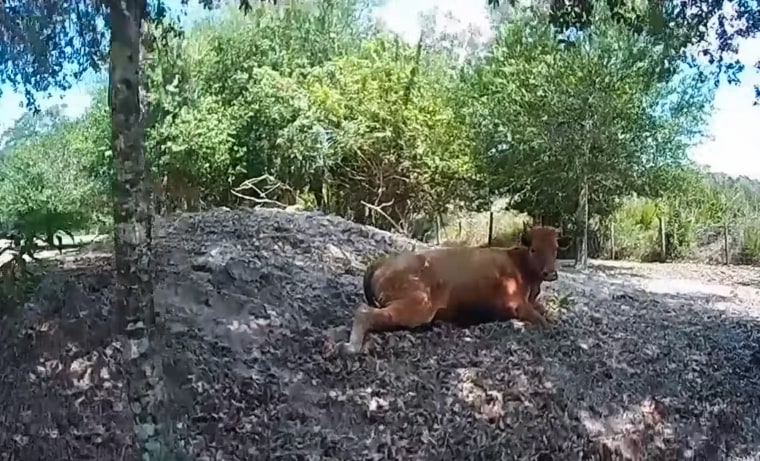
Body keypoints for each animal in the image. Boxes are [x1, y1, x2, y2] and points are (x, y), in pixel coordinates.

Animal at [340, 225, 565, 355]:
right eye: (534, 249)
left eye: (555, 249)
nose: (550, 273)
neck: (519, 263)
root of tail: (382, 262)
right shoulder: (516, 304)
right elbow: (542, 321)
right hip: (419, 305)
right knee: (364, 312)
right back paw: (351, 347)